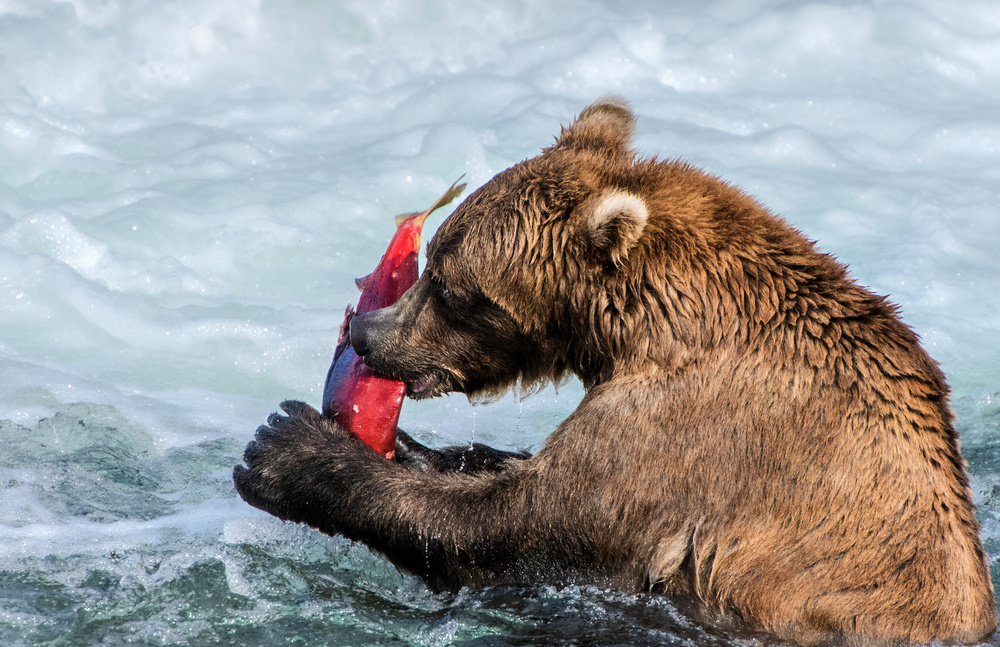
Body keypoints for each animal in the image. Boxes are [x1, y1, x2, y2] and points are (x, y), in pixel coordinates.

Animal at [233, 97, 997, 646]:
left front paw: (285, 447)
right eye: (432, 261)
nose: (367, 334)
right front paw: (424, 450)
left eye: (450, 286)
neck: (649, 322)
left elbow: (514, 527)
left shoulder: (685, 436)